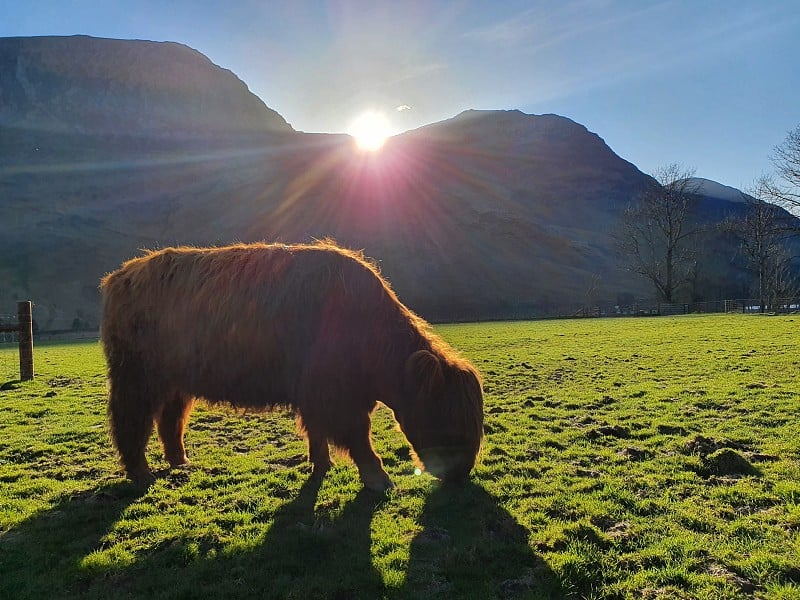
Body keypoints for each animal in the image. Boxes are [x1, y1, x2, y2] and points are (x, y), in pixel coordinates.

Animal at [103, 241, 484, 490]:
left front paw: (322, 465)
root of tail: (121, 275)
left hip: (176, 382)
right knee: (130, 419)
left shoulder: (316, 394)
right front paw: (379, 478)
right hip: (136, 376)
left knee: (170, 419)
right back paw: (140, 472)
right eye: (445, 414)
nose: (461, 472)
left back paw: (180, 461)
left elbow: (317, 432)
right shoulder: (337, 397)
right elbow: (358, 437)